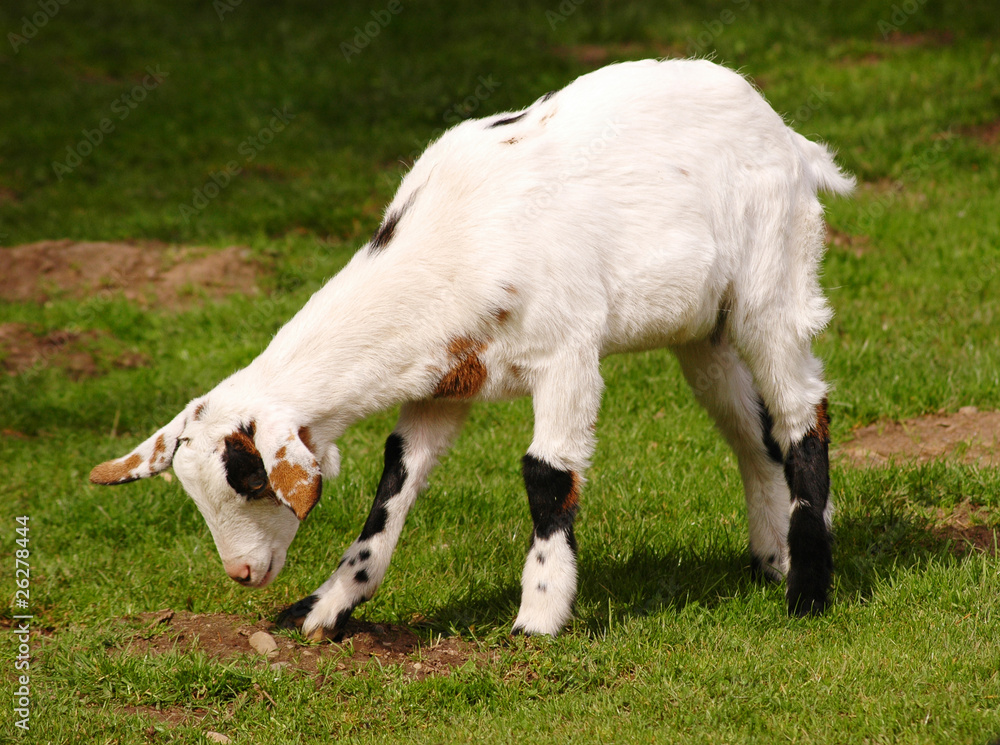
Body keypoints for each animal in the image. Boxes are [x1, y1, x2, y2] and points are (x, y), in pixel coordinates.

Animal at [91, 59, 854, 637]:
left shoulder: (567, 352)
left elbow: (547, 474)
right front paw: (324, 608)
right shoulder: (442, 380)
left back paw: (809, 592)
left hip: (772, 284)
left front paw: (538, 617)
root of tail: (789, 137)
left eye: (250, 479)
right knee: (752, 430)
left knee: (802, 414)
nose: (241, 573)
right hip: (702, 329)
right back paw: (773, 559)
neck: (453, 240)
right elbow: (394, 482)